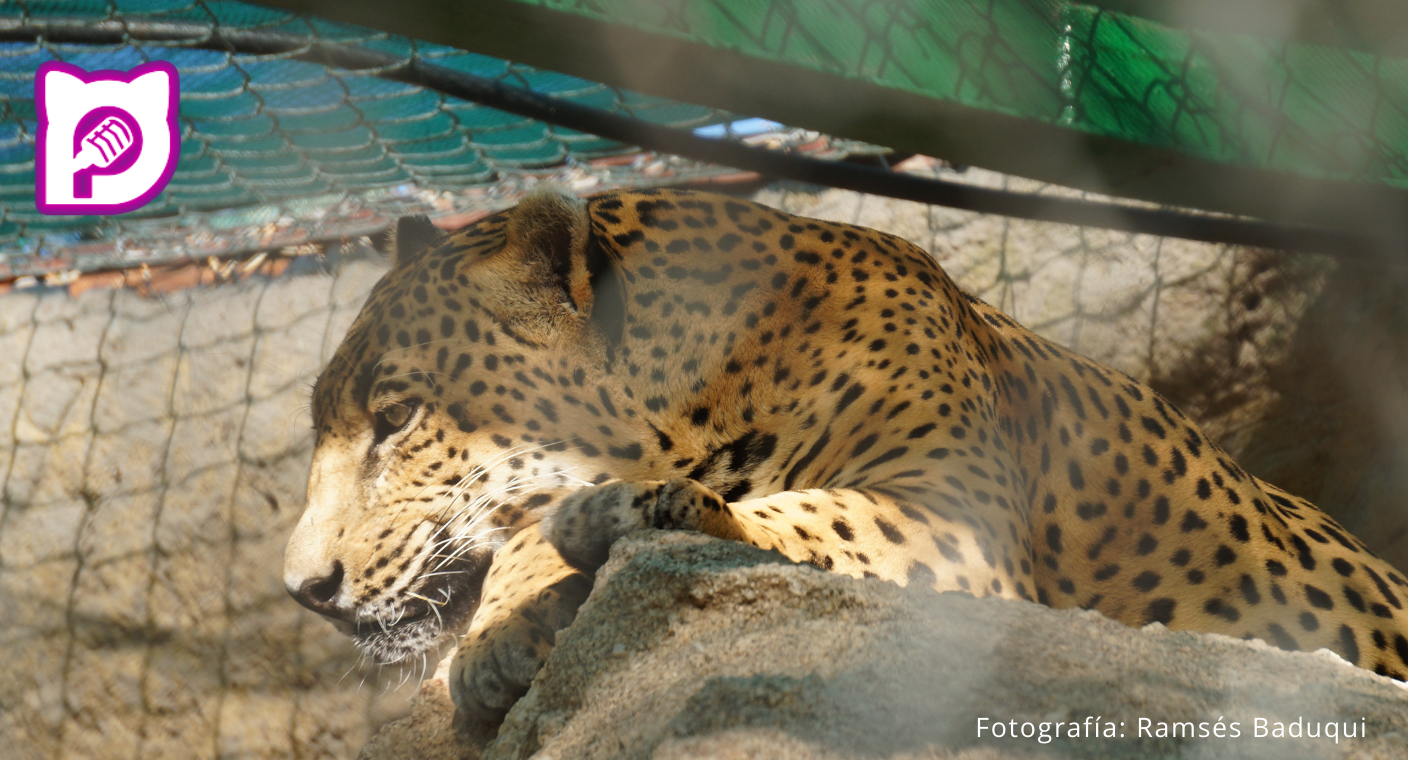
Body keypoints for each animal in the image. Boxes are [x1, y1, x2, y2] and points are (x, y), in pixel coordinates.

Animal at [283, 186, 1408, 734]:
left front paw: (635, 515)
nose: (300, 589)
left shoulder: (949, 517)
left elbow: (809, 513)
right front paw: (501, 632)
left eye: (396, 416)